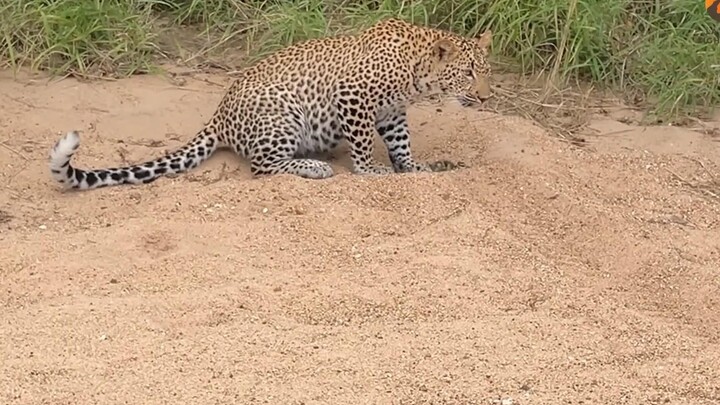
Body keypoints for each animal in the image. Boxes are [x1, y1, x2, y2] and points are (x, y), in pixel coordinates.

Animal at [48, 18, 494, 191]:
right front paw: (371, 171)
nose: (487, 96)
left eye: (486, 71)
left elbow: (401, 144)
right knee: (264, 168)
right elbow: (363, 144)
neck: (416, 73)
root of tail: (218, 117)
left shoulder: (392, 111)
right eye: (468, 73)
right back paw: (314, 167)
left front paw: (414, 168)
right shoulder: (352, 96)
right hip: (282, 117)